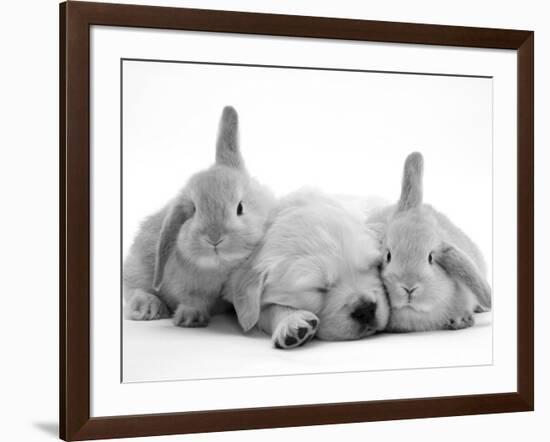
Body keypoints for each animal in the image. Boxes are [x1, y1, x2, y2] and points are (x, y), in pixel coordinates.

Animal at [124, 105, 276, 326]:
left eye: (240, 208)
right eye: (194, 210)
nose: (214, 238)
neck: (220, 267)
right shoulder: (188, 287)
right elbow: (194, 300)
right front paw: (190, 318)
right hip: (137, 267)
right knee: (134, 288)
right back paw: (147, 308)